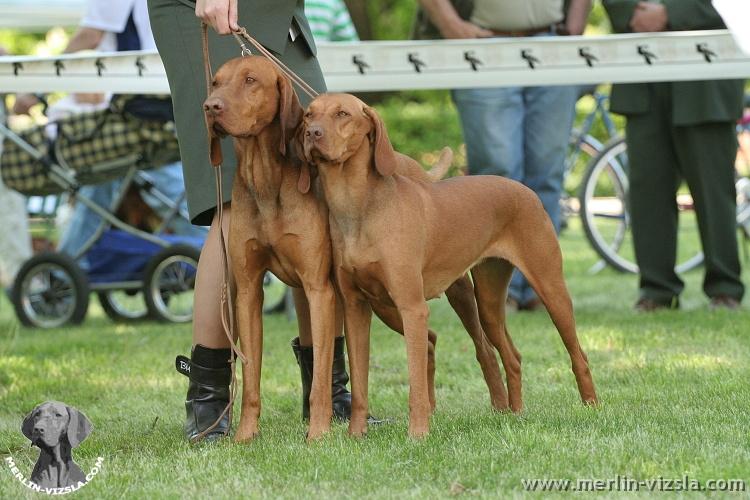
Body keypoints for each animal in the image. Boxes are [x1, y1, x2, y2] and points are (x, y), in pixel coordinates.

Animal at [300, 94, 600, 438]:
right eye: (308, 115)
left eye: (343, 114)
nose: (312, 133)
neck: (358, 207)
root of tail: (524, 189)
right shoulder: (355, 308)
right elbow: (361, 383)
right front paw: (354, 435)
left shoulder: (412, 307)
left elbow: (416, 383)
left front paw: (418, 435)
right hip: (482, 302)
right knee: (510, 355)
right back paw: (515, 414)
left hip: (549, 288)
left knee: (577, 353)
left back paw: (591, 407)